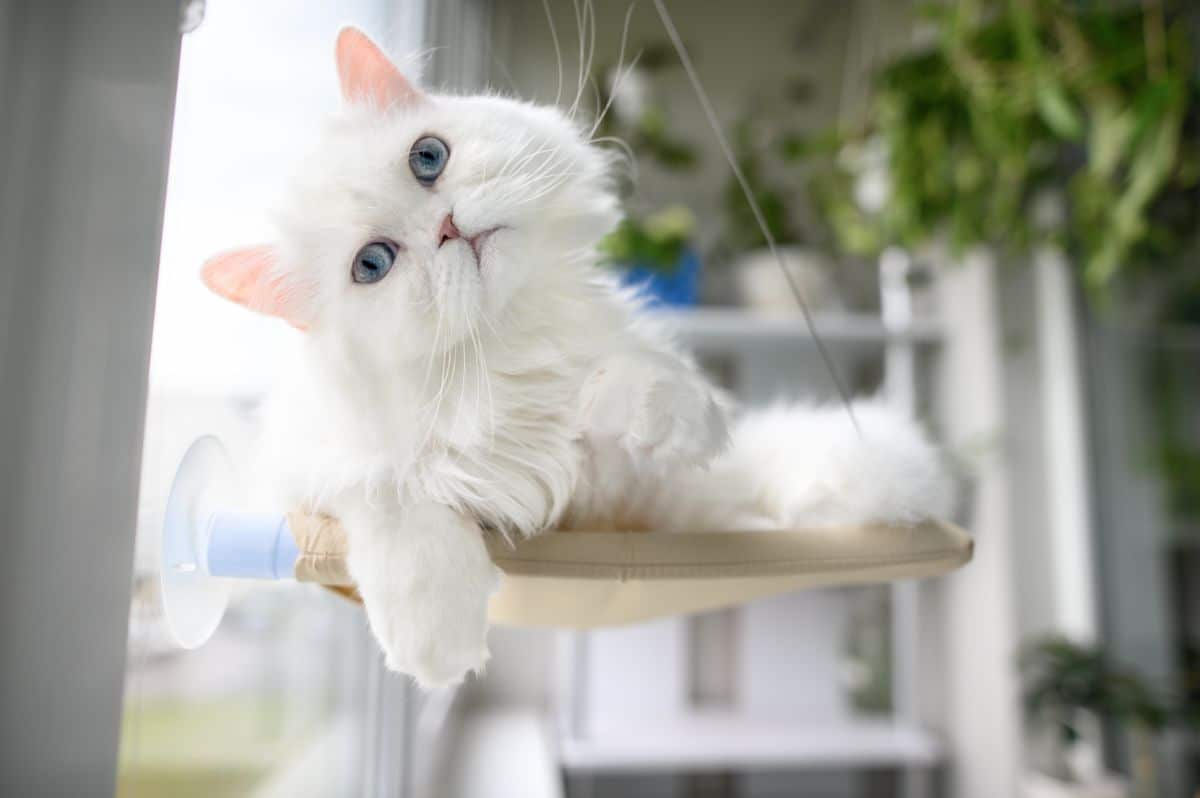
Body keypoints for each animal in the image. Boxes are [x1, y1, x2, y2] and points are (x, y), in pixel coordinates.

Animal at [204, 28, 955, 686]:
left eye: (428, 158)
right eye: (373, 264)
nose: (446, 228)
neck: (507, 346)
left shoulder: (620, 469)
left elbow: (633, 380)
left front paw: (653, 413)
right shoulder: (314, 467)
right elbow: (396, 503)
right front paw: (438, 642)